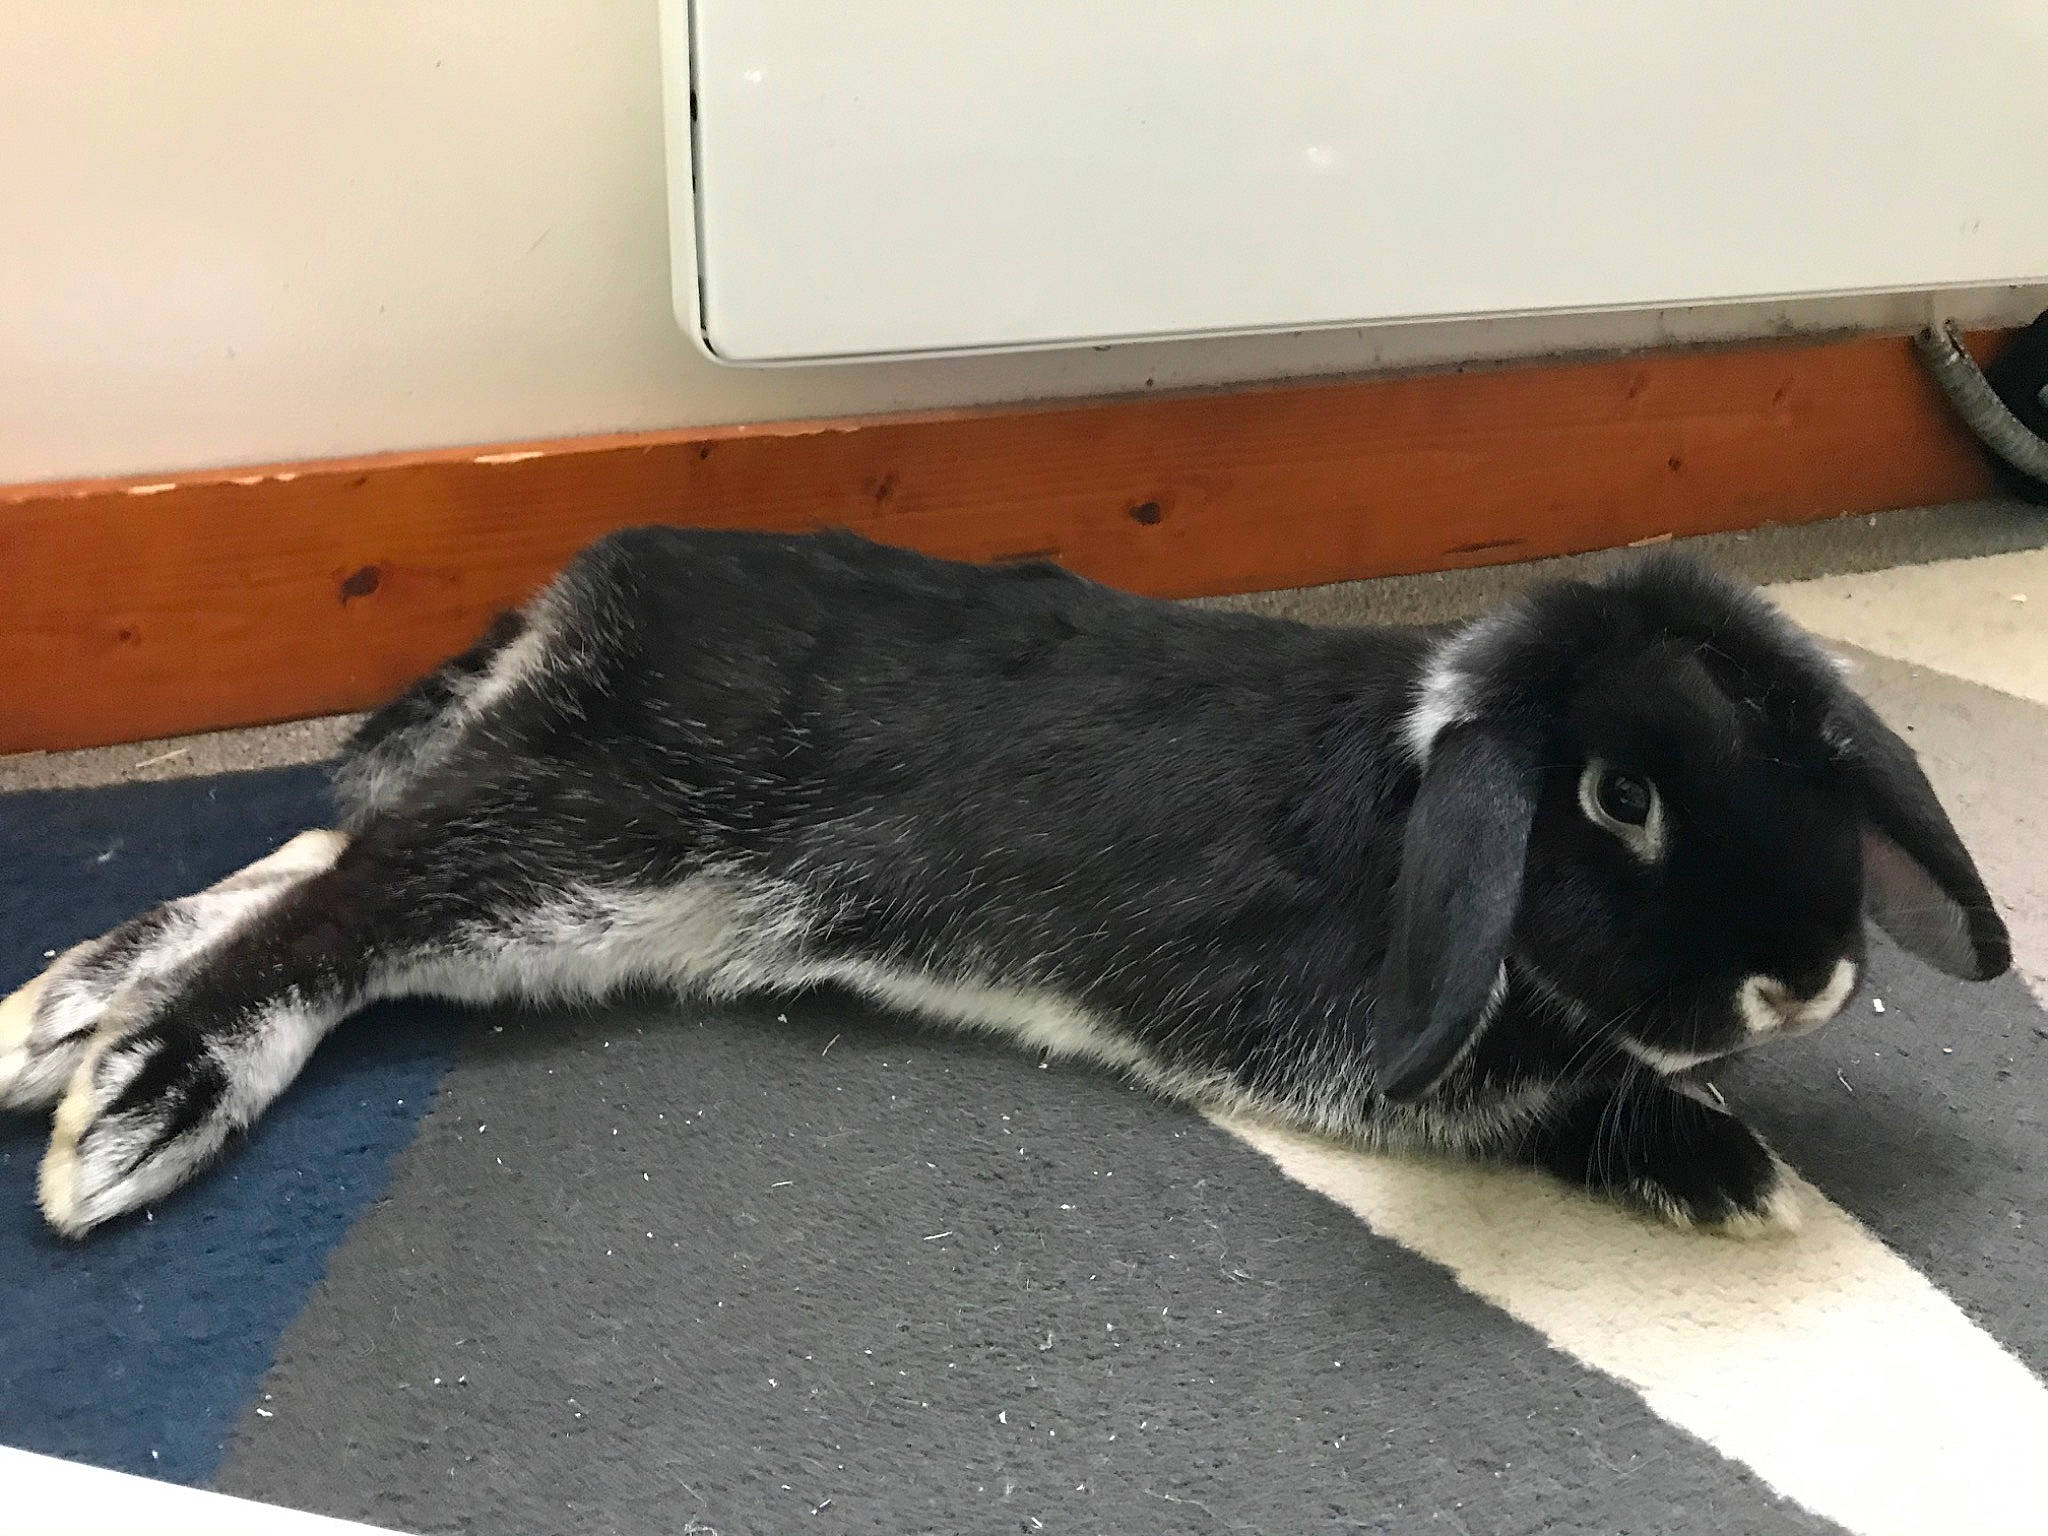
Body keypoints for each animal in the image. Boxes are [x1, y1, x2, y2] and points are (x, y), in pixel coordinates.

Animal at [0, 528, 2009, 1240]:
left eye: (1817, 750)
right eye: (1616, 795)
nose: (1805, 980)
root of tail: (603, 580)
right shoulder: (1339, 1040)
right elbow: (1537, 1094)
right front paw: (1727, 1175)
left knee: (333, 848)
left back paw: (58, 1008)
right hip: (597, 842)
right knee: (349, 906)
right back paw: (135, 1098)